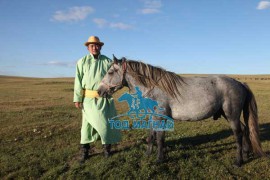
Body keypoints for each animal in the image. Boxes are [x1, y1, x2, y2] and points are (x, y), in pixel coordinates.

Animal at [97, 55, 266, 167]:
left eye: (110, 72)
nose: (99, 91)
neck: (154, 87)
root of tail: (240, 83)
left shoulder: (161, 118)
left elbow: (160, 138)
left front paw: (159, 159)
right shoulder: (153, 117)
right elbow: (151, 136)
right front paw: (148, 154)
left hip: (232, 116)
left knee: (238, 134)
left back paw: (238, 161)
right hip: (229, 115)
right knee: (245, 130)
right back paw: (246, 153)